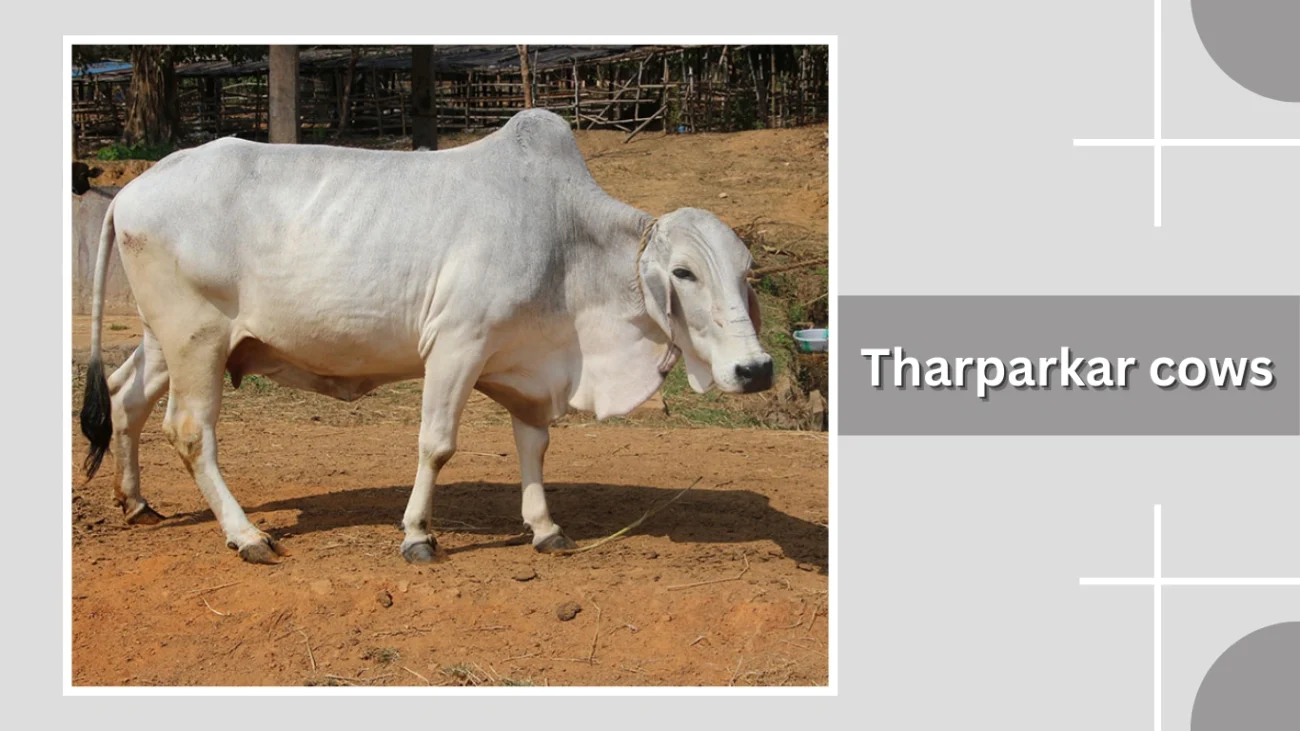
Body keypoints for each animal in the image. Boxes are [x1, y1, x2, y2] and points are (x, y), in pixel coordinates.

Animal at [79, 109, 773, 565]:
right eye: (683, 272)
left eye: (746, 271)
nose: (756, 369)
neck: (566, 240)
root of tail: (134, 187)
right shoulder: (457, 344)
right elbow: (436, 445)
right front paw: (418, 535)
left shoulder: (524, 364)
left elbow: (535, 445)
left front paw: (545, 527)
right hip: (195, 337)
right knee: (190, 430)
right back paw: (246, 535)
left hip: (167, 340)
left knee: (124, 397)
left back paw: (135, 501)